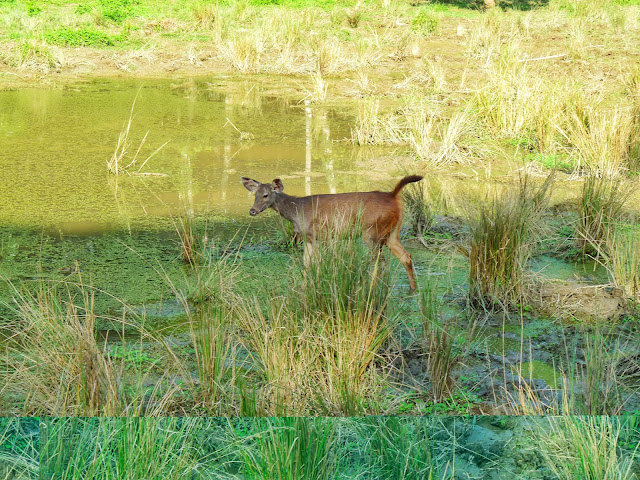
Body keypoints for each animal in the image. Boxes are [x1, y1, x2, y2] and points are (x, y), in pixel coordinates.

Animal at [242, 174, 422, 290]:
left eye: (266, 195)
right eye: (255, 194)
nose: (252, 211)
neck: (297, 212)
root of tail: (393, 196)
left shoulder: (322, 234)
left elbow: (318, 263)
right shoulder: (308, 238)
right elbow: (307, 264)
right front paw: (305, 287)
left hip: (373, 232)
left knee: (379, 260)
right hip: (392, 232)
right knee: (405, 256)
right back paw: (412, 288)